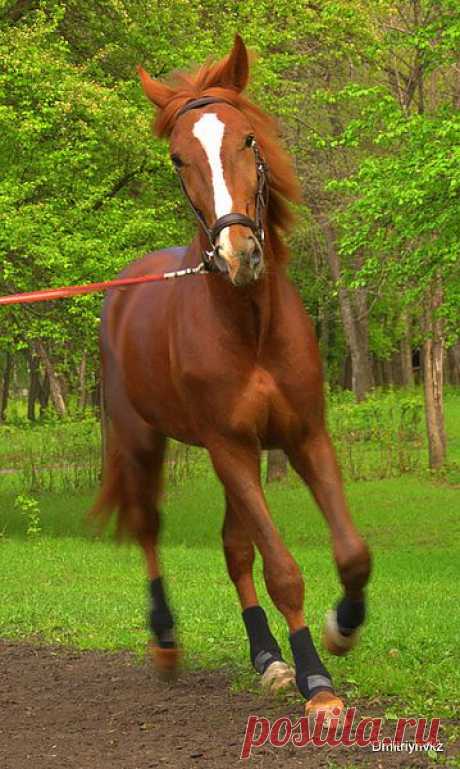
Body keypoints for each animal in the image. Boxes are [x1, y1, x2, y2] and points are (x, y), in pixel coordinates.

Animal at [93, 34, 370, 720]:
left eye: (247, 139)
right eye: (177, 158)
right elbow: (283, 569)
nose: (237, 253)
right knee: (148, 527)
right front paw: (317, 681)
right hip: (144, 440)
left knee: (233, 547)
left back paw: (267, 657)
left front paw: (342, 627)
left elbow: (350, 552)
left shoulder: (302, 437)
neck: (251, 328)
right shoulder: (231, 448)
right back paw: (166, 639)